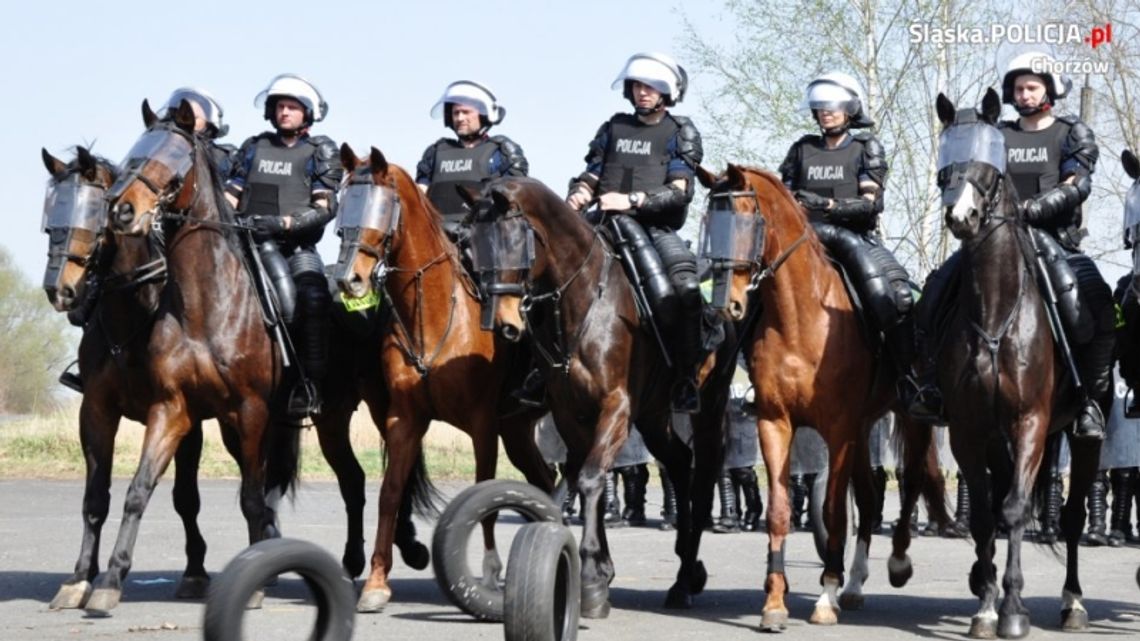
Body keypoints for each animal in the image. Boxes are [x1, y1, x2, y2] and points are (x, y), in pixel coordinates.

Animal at [330, 143, 556, 606]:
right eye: (343, 203)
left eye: (382, 207)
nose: (349, 279)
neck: (433, 316)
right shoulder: (403, 420)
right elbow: (390, 493)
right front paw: (377, 582)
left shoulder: (483, 425)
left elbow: (483, 493)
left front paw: (490, 572)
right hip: (518, 431)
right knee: (546, 479)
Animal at [465, 173, 738, 615]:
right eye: (471, 245)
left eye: (513, 242)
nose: (502, 323)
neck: (585, 301)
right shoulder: (570, 413)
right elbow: (581, 476)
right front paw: (599, 571)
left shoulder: (616, 407)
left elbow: (593, 477)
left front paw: (593, 572)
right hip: (653, 416)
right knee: (680, 463)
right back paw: (686, 568)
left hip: (707, 410)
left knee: (701, 477)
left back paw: (685, 577)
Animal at [688, 160, 948, 629]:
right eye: (707, 226)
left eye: (747, 222)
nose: (725, 305)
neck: (800, 317)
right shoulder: (776, 423)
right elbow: (780, 511)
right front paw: (774, 604)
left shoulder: (838, 430)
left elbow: (831, 511)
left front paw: (825, 599)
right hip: (863, 427)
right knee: (870, 496)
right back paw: (856, 584)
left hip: (909, 418)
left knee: (911, 481)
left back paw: (896, 564)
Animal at [925, 88, 1103, 634]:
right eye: (946, 156)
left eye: (990, 159)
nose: (961, 216)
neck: (997, 309)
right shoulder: (968, 428)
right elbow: (986, 515)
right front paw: (986, 605)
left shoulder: (1029, 422)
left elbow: (1017, 508)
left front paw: (1012, 608)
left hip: (1077, 437)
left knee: (1070, 516)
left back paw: (1073, 603)